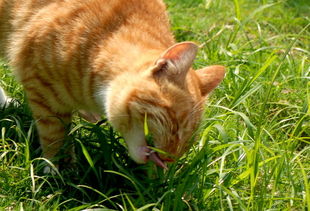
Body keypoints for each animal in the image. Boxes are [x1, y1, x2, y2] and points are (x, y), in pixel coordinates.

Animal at [0, 0, 224, 170]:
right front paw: (59, 170)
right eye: (177, 126)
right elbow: (55, 134)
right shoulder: (43, 91)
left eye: (190, 141)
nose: (170, 159)